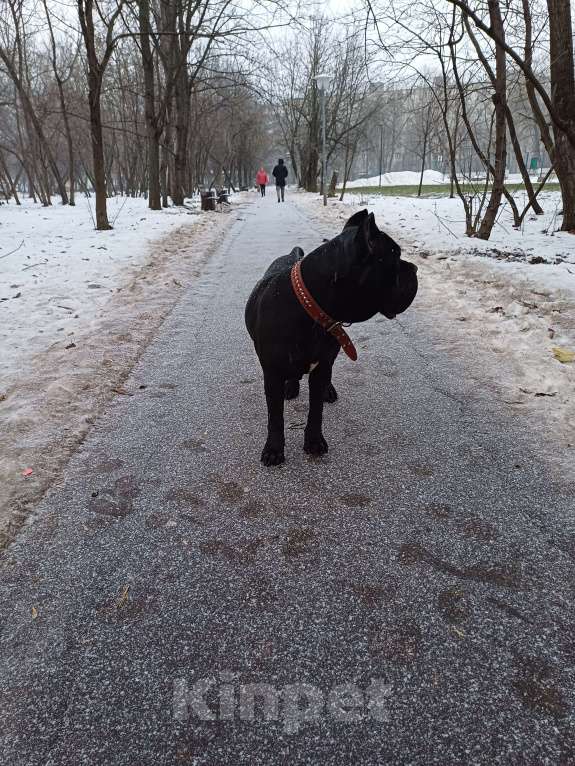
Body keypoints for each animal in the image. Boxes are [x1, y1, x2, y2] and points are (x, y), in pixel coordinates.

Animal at [244, 207, 418, 464]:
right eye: (394, 258)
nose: (414, 268)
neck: (310, 308)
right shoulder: (272, 373)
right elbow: (275, 416)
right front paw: (274, 449)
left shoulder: (323, 366)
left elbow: (316, 410)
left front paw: (314, 441)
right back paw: (291, 386)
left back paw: (327, 390)